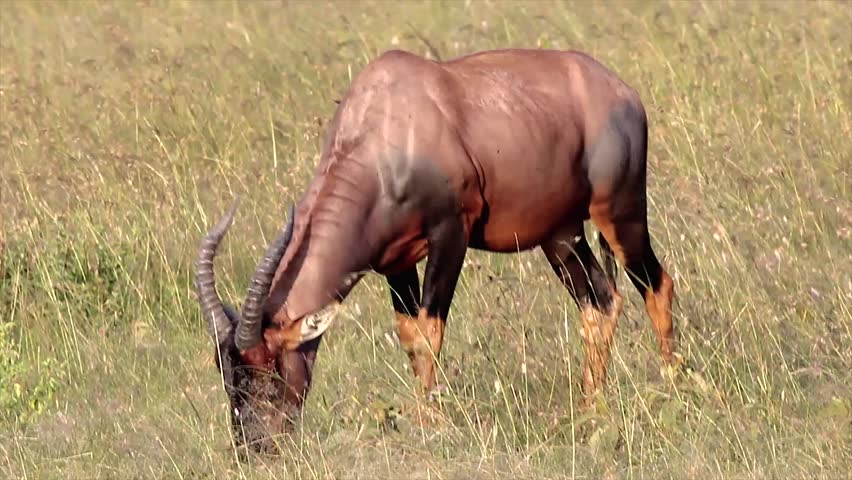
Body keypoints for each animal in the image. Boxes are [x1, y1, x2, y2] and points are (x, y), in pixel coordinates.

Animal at [195, 48, 677, 453]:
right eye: (226, 373)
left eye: (270, 365)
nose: (254, 449)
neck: (387, 122)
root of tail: (619, 89)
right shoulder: (394, 262)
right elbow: (410, 336)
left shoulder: (451, 234)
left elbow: (430, 331)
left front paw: (430, 424)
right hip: (560, 235)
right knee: (600, 301)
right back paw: (590, 409)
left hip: (619, 211)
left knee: (657, 284)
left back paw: (673, 384)